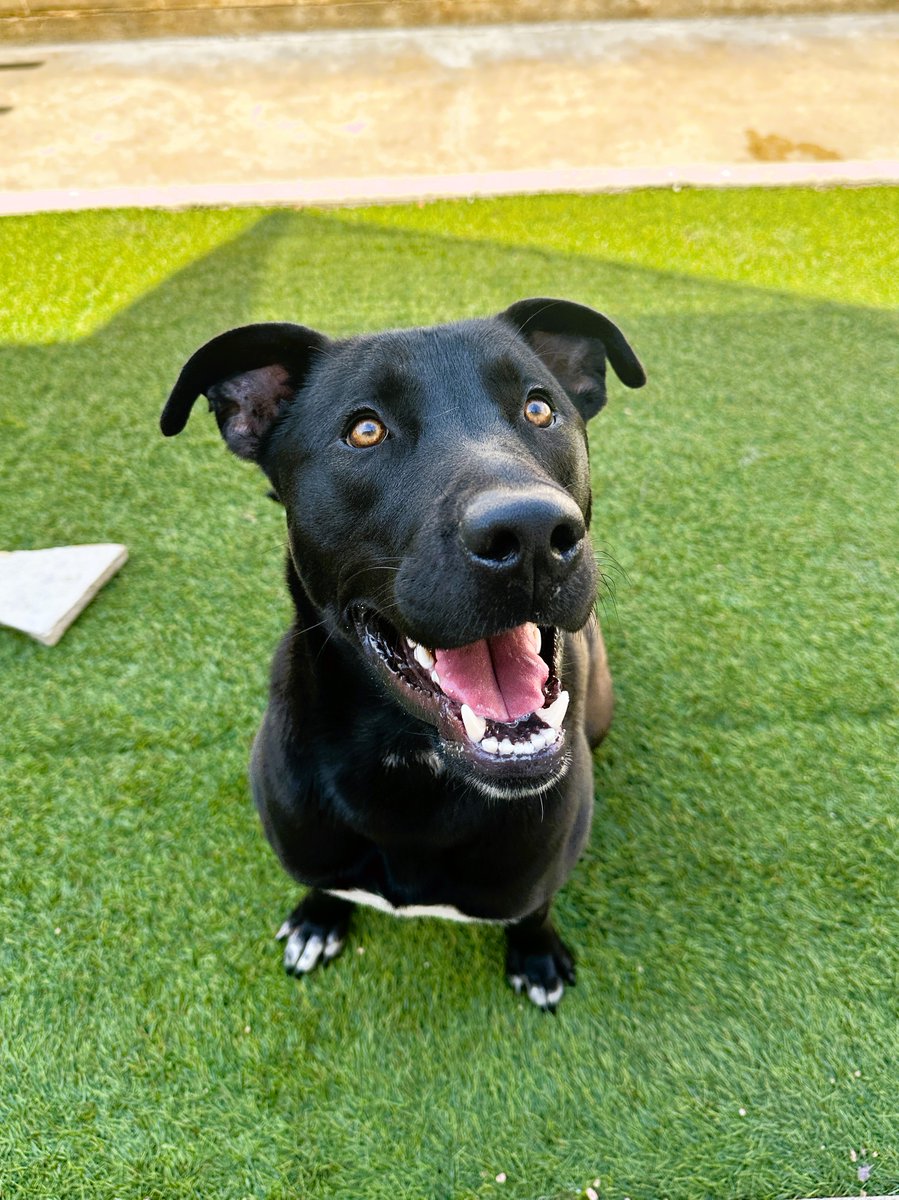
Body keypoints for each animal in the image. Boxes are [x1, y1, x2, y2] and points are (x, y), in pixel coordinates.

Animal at [159, 300, 638, 1012]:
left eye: (538, 408)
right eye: (364, 431)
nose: (530, 532)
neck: (411, 764)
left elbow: (533, 907)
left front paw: (536, 954)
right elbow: (323, 881)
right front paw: (318, 918)